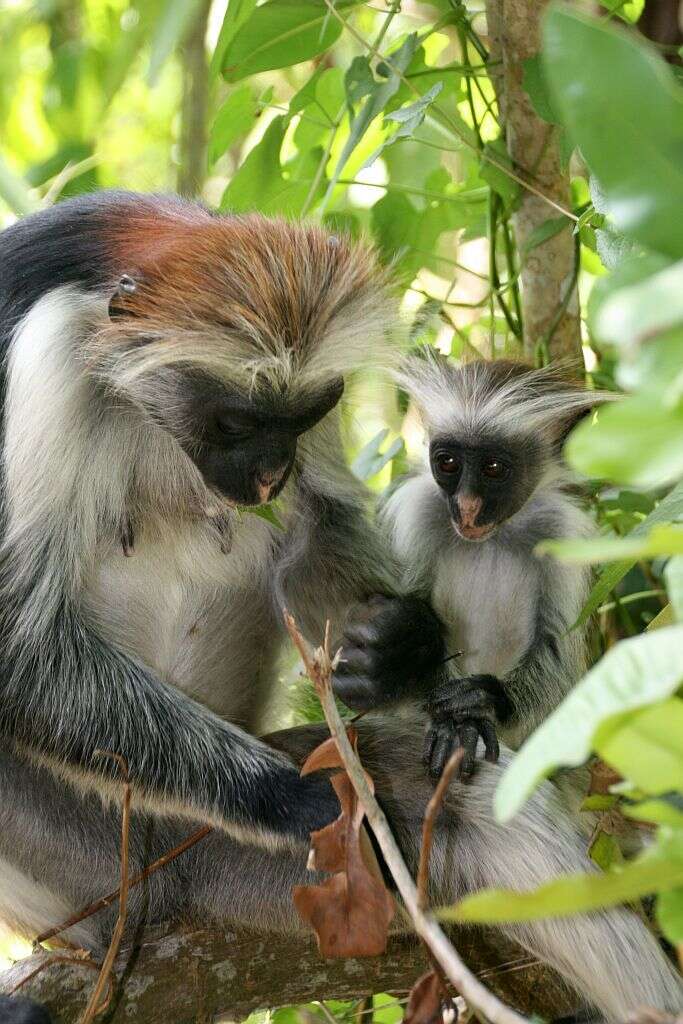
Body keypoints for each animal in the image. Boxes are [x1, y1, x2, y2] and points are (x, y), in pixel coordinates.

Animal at [0, 193, 679, 1024]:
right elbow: (20, 641)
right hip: (95, 862)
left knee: (463, 799)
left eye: (301, 418)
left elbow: (318, 526)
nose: (267, 474)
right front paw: (282, 794)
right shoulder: (45, 357)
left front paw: (401, 650)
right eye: (234, 421)